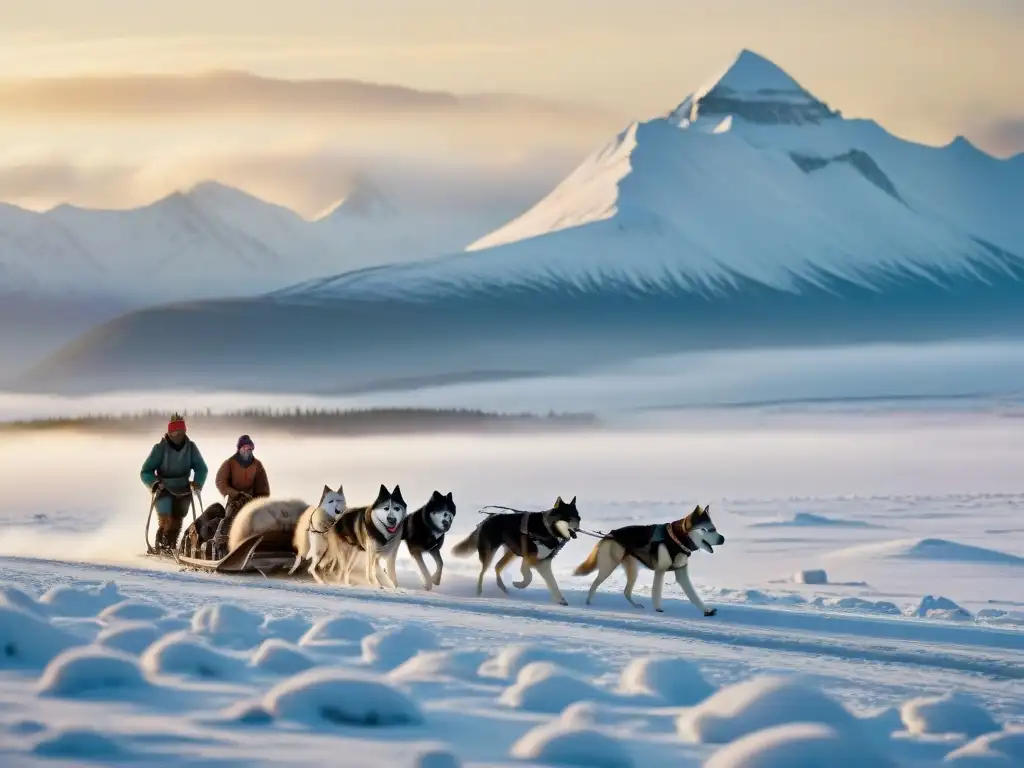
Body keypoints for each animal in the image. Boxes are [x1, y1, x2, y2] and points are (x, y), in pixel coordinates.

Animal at [452, 499, 581, 606]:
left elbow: (552, 583)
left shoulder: (543, 562)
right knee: (482, 572)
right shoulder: (529, 558)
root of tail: (488, 518)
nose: (577, 529)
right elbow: (528, 576)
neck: (548, 529)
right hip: (489, 553)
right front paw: (519, 584)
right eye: (568, 518)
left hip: (511, 553)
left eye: (578, 518)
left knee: (497, 566)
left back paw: (502, 587)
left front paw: (560, 600)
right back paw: (479, 592)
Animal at [573, 505, 724, 618]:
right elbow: (656, 591)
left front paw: (706, 610)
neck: (676, 539)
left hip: (632, 570)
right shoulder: (660, 570)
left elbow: (693, 595)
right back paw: (588, 603)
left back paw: (635, 605)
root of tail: (610, 534)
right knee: (594, 584)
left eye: (715, 529)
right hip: (609, 566)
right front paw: (658, 609)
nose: (722, 539)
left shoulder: (681, 572)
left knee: (626, 591)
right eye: (706, 529)